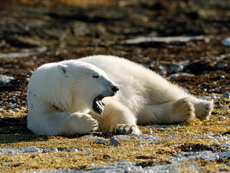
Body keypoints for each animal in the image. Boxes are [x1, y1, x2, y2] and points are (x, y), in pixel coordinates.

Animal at [27, 54, 214, 136]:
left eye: (103, 73)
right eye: (95, 75)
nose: (115, 87)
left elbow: (117, 110)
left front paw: (124, 127)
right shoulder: (42, 102)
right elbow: (46, 122)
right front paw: (89, 123)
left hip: (135, 73)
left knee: (162, 88)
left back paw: (202, 107)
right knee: (148, 111)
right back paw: (182, 109)